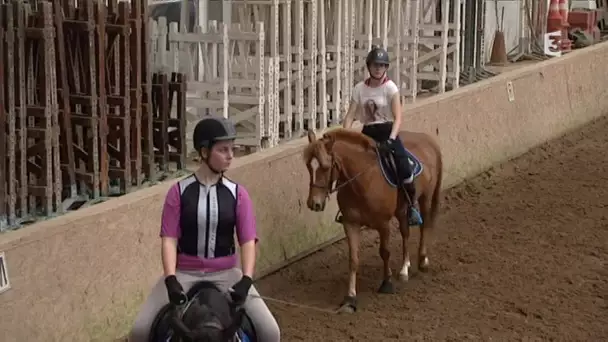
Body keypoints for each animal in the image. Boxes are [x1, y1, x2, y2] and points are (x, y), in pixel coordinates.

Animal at [302, 127, 442, 312]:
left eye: (325, 167)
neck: (363, 180)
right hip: (401, 209)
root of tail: (427, 139)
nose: (314, 203)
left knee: (424, 225)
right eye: (308, 166)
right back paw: (405, 268)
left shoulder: (383, 224)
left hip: (425, 198)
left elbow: (385, 252)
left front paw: (387, 284)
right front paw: (350, 298)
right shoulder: (351, 224)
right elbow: (353, 259)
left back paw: (423, 260)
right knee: (405, 232)